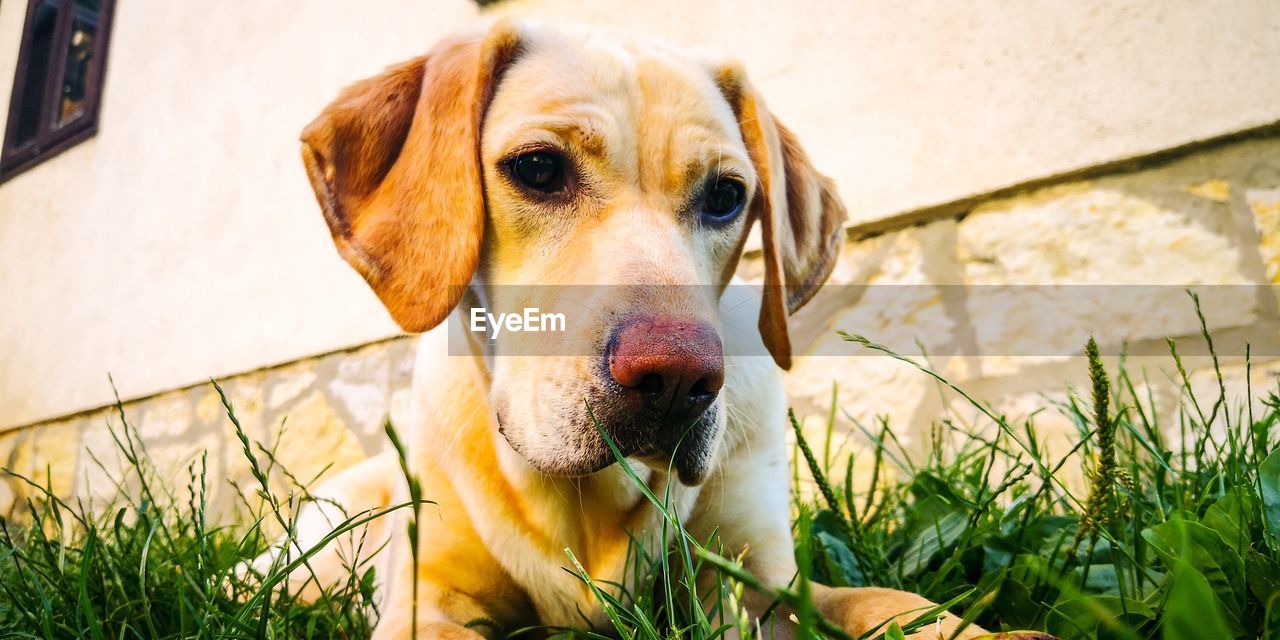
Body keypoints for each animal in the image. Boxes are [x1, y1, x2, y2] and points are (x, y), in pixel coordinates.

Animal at [254, 20, 1024, 640]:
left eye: (726, 196)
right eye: (538, 169)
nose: (678, 379)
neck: (586, 497)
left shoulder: (762, 585)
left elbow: (884, 601)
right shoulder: (430, 603)